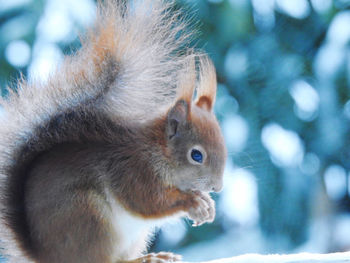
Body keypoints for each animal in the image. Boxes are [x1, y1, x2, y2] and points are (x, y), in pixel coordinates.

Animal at [0, 0, 227, 263]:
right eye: (196, 155)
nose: (217, 188)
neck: (158, 151)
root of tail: (44, 255)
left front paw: (208, 204)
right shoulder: (132, 170)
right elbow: (148, 202)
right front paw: (194, 202)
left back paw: (152, 256)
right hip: (89, 217)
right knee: (103, 258)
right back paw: (145, 258)